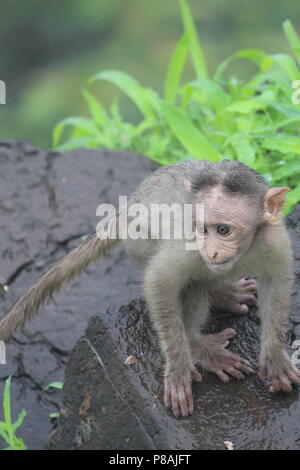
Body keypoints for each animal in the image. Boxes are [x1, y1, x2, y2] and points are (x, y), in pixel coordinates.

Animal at [0, 160, 300, 416]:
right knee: (192, 284)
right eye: (202, 229)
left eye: (223, 230)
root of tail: (128, 207)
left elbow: (277, 283)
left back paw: (222, 294)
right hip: (139, 243)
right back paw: (202, 341)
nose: (211, 251)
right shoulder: (188, 244)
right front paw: (180, 366)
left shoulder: (274, 239)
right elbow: (159, 282)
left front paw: (275, 359)